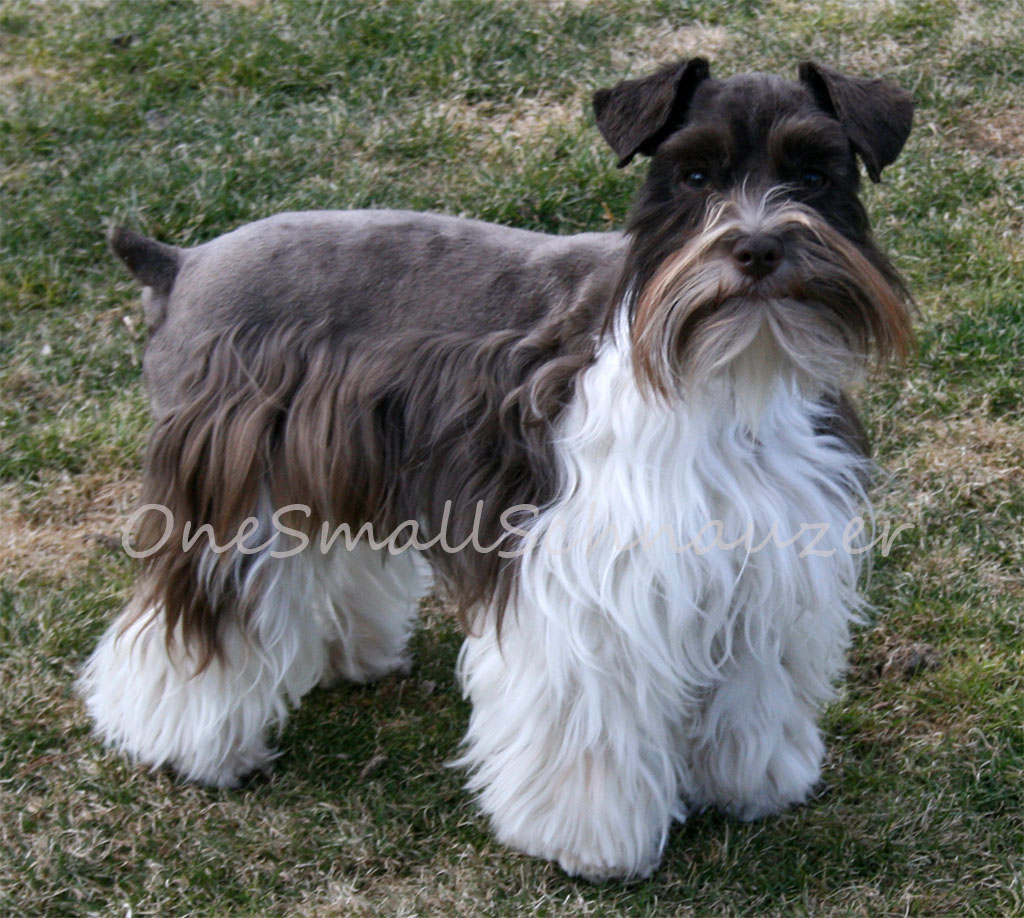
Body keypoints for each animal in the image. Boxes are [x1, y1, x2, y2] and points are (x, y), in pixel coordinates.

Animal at [80, 57, 914, 881]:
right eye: (694, 175)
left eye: (813, 174)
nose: (759, 249)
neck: (729, 375)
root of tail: (182, 263)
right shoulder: (590, 591)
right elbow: (588, 723)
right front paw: (589, 841)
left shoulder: (767, 564)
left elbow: (753, 690)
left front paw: (753, 783)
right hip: (230, 501)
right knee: (190, 623)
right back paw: (185, 743)